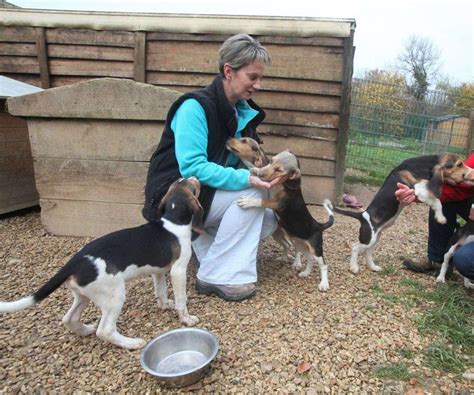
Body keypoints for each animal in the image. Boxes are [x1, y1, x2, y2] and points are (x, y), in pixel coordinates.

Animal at [0, 177, 204, 350]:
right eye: (190, 184)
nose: (195, 177)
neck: (173, 221)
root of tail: (75, 261)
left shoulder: (158, 271)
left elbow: (160, 291)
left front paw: (165, 305)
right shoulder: (178, 271)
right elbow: (181, 300)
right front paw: (186, 319)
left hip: (84, 294)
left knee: (69, 318)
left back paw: (85, 330)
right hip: (114, 295)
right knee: (105, 330)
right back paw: (131, 343)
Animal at [228, 138, 336, 290]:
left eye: (279, 170)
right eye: (272, 161)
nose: (261, 174)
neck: (282, 183)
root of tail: (319, 225)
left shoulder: (277, 203)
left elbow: (262, 201)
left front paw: (248, 201)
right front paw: (255, 170)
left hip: (316, 248)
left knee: (324, 265)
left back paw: (324, 283)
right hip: (300, 244)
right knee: (309, 258)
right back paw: (305, 273)